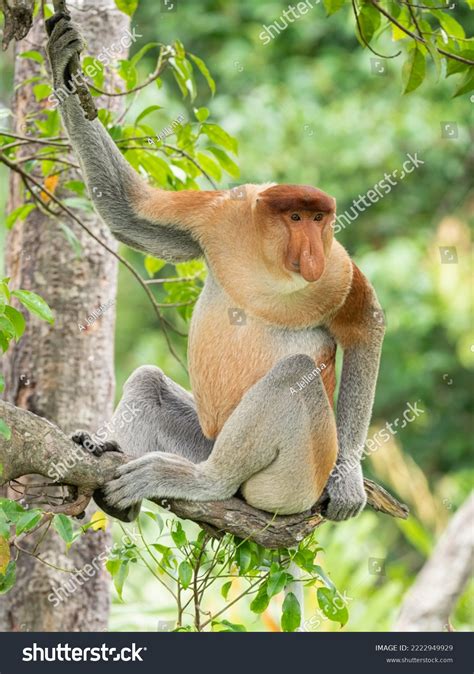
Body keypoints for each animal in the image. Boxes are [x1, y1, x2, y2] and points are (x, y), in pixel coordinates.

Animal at [46, 14, 384, 520]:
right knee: (149, 383)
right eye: (296, 217)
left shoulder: (337, 269)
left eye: (320, 219)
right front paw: (62, 62)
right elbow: (131, 214)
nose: (310, 252)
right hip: (204, 437)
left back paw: (204, 481)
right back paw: (109, 460)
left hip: (294, 480)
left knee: (294, 376)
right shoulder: (220, 216)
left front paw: (347, 481)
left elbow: (366, 324)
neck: (267, 260)